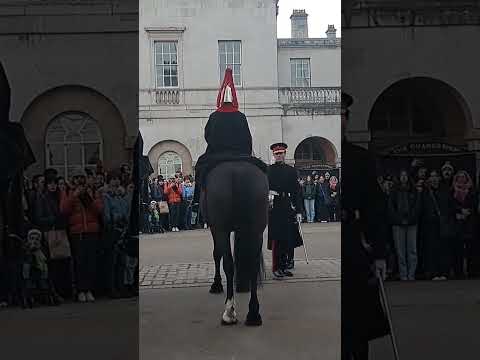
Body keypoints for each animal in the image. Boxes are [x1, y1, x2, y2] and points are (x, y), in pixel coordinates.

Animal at [202, 162, 268, 324]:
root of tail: (237, 171)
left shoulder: (215, 228)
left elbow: (217, 254)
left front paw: (216, 284)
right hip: (256, 229)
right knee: (253, 265)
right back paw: (253, 313)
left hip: (221, 229)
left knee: (228, 264)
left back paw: (229, 311)